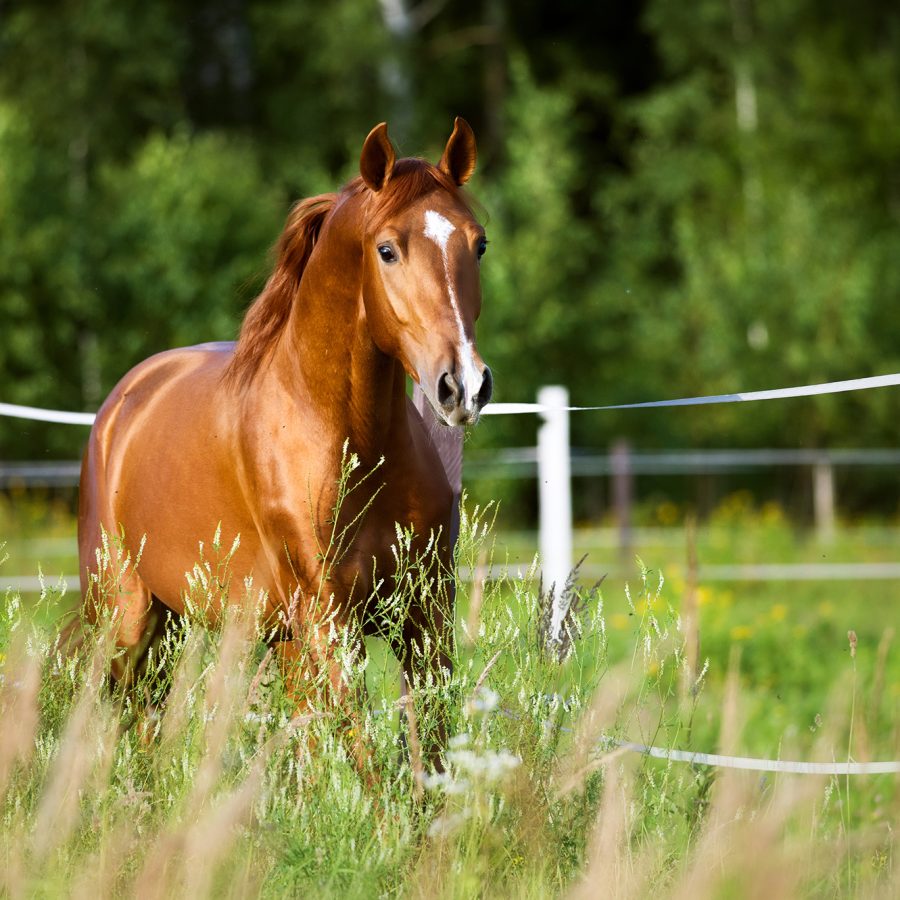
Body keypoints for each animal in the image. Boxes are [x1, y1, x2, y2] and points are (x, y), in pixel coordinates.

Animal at [79, 118, 492, 768]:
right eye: (387, 249)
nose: (464, 386)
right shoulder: (329, 621)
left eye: (478, 244)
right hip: (127, 616)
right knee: (128, 716)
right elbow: (365, 755)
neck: (349, 445)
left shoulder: (424, 615)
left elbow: (429, 748)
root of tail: (122, 402)